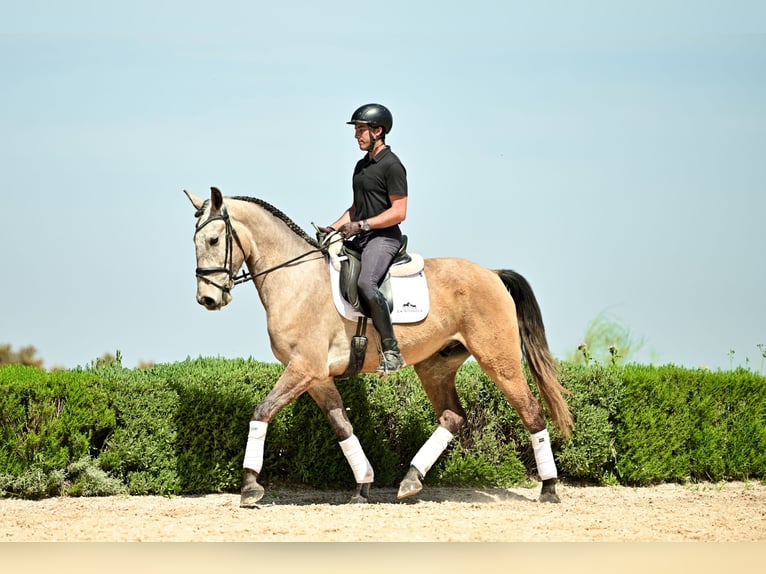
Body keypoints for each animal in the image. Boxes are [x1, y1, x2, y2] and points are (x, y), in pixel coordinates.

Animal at [183, 187, 572, 506]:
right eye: (195, 241)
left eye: (214, 239)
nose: (207, 299)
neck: (296, 279)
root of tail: (492, 274)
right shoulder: (317, 377)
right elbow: (343, 428)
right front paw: (363, 486)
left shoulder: (303, 368)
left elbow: (262, 411)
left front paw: (250, 486)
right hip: (436, 365)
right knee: (453, 416)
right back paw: (411, 480)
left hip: (498, 359)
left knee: (531, 411)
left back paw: (549, 488)